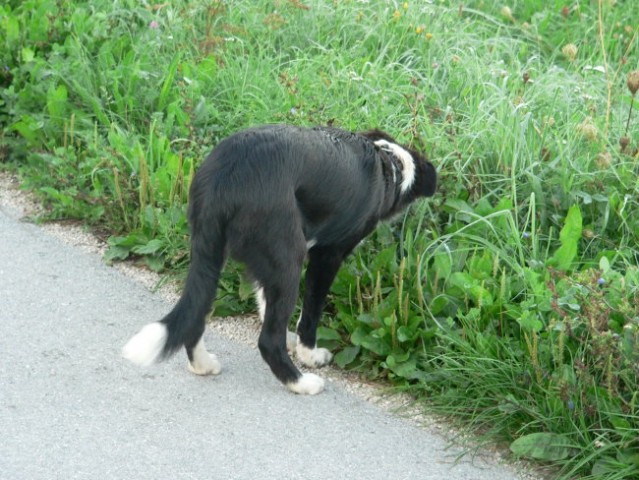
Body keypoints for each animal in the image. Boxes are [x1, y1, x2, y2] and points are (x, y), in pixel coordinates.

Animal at [123, 124, 436, 395]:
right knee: (268, 341)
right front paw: (309, 354)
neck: (389, 164)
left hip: (212, 253)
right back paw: (301, 382)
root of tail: (225, 178)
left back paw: (203, 365)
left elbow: (264, 300)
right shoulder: (327, 256)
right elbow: (310, 313)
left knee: (196, 312)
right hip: (288, 259)